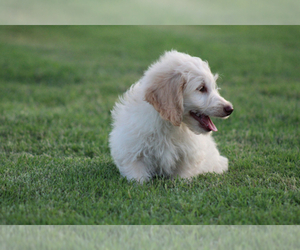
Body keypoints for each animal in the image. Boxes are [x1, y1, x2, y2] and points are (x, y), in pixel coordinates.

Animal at [109, 51, 233, 184]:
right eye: (201, 88)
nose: (230, 109)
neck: (169, 124)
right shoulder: (131, 151)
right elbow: (137, 174)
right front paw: (140, 183)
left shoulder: (189, 154)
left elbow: (183, 173)